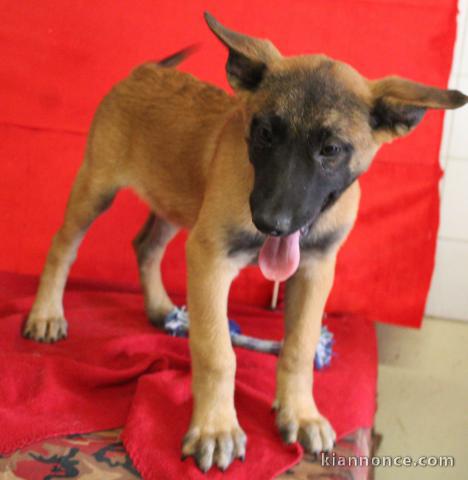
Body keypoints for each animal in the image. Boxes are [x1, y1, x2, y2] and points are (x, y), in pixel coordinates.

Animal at [23, 12, 466, 472]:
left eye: (331, 149)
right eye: (265, 133)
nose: (271, 223)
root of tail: (147, 69)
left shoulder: (316, 270)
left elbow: (300, 346)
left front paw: (300, 413)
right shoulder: (209, 258)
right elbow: (217, 350)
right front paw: (216, 429)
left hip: (175, 202)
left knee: (145, 245)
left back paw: (160, 308)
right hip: (97, 186)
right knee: (63, 246)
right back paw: (47, 314)